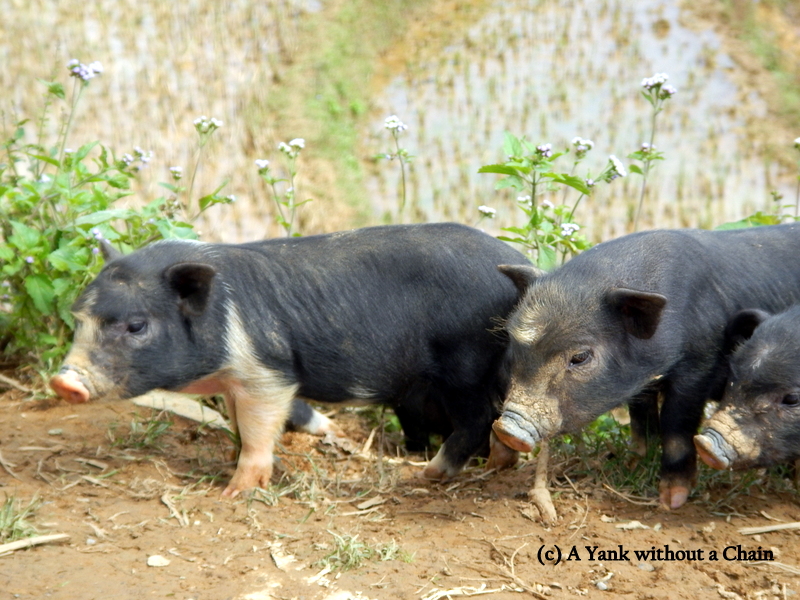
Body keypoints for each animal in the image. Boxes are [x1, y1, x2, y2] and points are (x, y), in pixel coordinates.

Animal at [49, 223, 529, 497]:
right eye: (78, 318)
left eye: (135, 325)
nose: (63, 382)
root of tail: (521, 264)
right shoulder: (236, 382)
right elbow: (241, 425)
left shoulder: (267, 372)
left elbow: (260, 430)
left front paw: (235, 493)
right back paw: (494, 466)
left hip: (466, 367)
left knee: (477, 420)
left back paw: (426, 475)